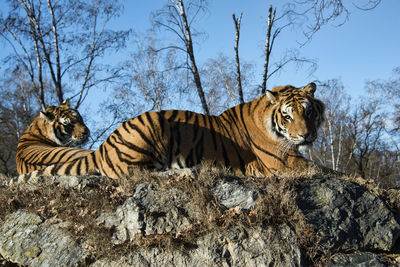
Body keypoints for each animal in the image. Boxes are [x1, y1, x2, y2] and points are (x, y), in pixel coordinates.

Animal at [21, 83, 334, 180]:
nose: (306, 136)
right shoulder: (284, 161)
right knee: (139, 175)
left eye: (308, 112)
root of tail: (102, 149)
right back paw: (187, 171)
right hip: (151, 124)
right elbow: (330, 171)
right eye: (288, 116)